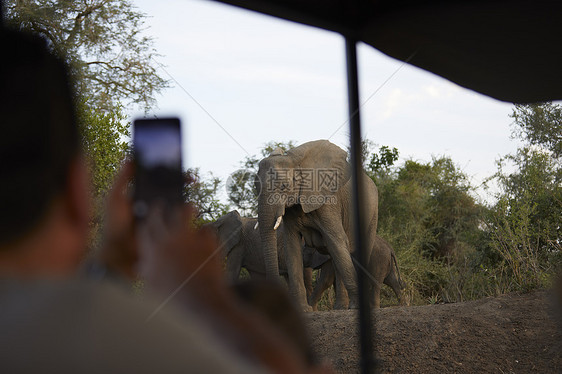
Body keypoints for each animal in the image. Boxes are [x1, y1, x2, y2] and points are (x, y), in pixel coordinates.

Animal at [255, 139, 378, 312]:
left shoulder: (328, 203)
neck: (295, 162)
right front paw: (303, 310)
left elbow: (338, 241)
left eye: (284, 187)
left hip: (372, 214)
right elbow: (292, 247)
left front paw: (355, 307)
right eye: (256, 187)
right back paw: (340, 308)